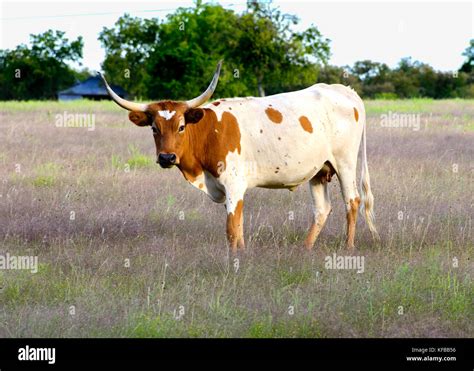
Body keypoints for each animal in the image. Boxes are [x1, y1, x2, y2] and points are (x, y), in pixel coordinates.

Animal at [99, 61, 378, 254]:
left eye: (181, 126)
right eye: (154, 128)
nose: (167, 157)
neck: (208, 132)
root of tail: (345, 90)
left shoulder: (233, 184)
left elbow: (231, 228)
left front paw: (233, 260)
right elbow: (239, 224)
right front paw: (242, 254)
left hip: (345, 163)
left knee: (352, 201)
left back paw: (348, 247)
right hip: (319, 170)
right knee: (322, 209)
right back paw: (306, 248)